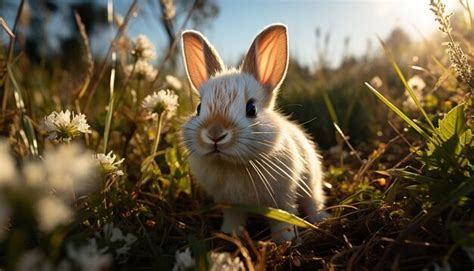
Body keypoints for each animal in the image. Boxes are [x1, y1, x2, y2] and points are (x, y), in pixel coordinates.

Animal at [180, 23, 328, 244]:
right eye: (198, 108)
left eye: (251, 109)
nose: (215, 134)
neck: (233, 165)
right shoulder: (229, 204)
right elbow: (234, 219)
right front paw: (230, 234)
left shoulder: (282, 199)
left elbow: (281, 220)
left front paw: (284, 241)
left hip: (312, 184)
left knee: (313, 202)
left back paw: (321, 219)